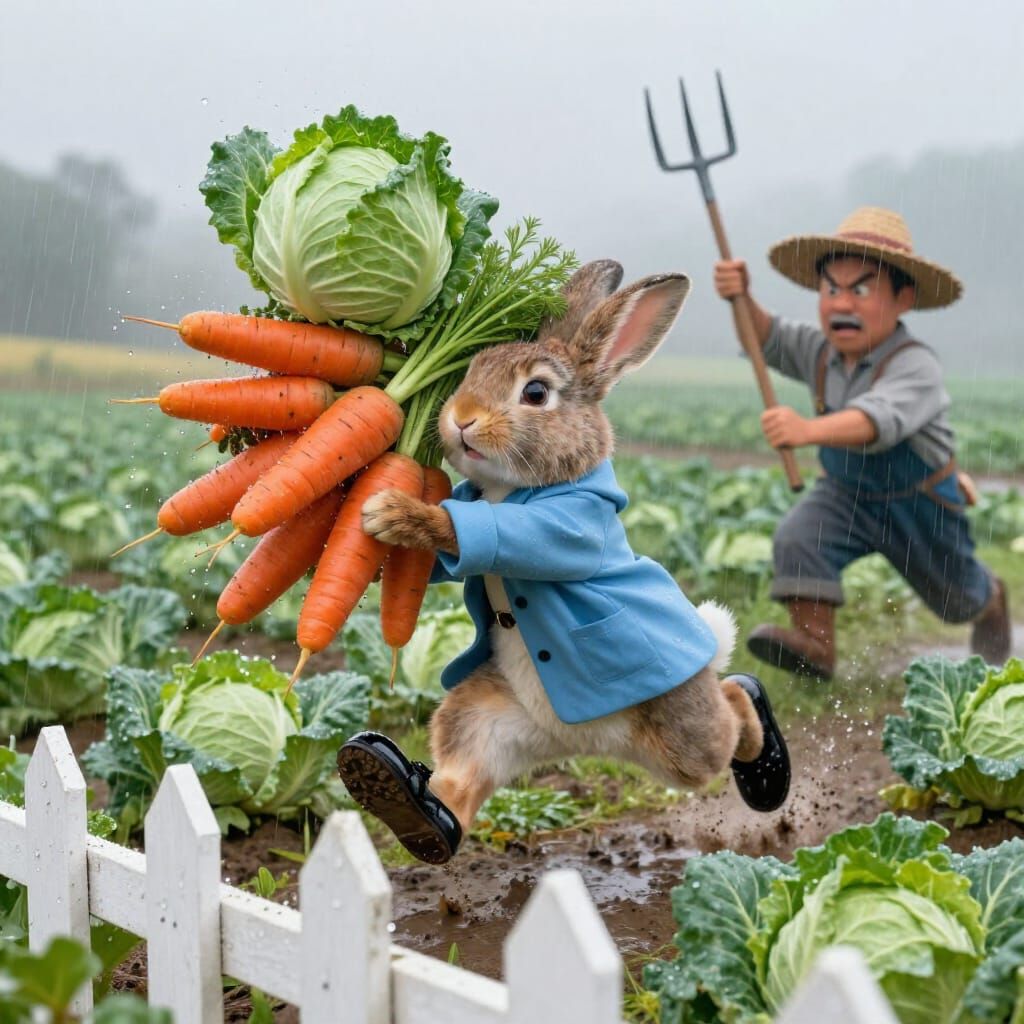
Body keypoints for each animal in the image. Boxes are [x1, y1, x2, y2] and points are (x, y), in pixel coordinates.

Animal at [339, 260, 791, 865]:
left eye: (535, 393)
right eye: (471, 370)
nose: (460, 419)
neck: (509, 489)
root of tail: (582, 740)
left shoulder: (569, 520)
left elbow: (501, 533)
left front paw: (391, 512)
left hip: (685, 733)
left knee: (731, 713)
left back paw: (761, 744)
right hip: (486, 715)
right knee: (462, 777)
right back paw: (404, 800)